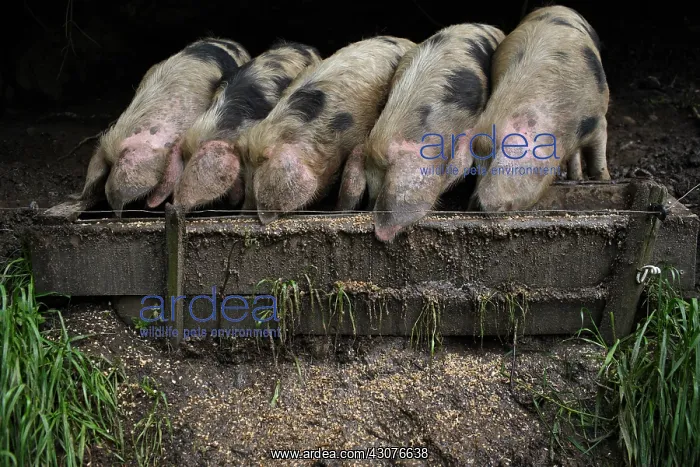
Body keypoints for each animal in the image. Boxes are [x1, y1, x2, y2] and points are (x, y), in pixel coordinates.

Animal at [234, 36, 416, 224]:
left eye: (255, 178)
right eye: (246, 176)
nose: (241, 214)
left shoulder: (357, 135)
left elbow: (351, 176)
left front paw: (338, 212)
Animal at [468, 6, 610, 212]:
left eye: (493, 158)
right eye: (479, 165)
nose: (473, 205)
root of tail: (555, 7)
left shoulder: (597, 117)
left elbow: (598, 154)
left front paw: (605, 180)